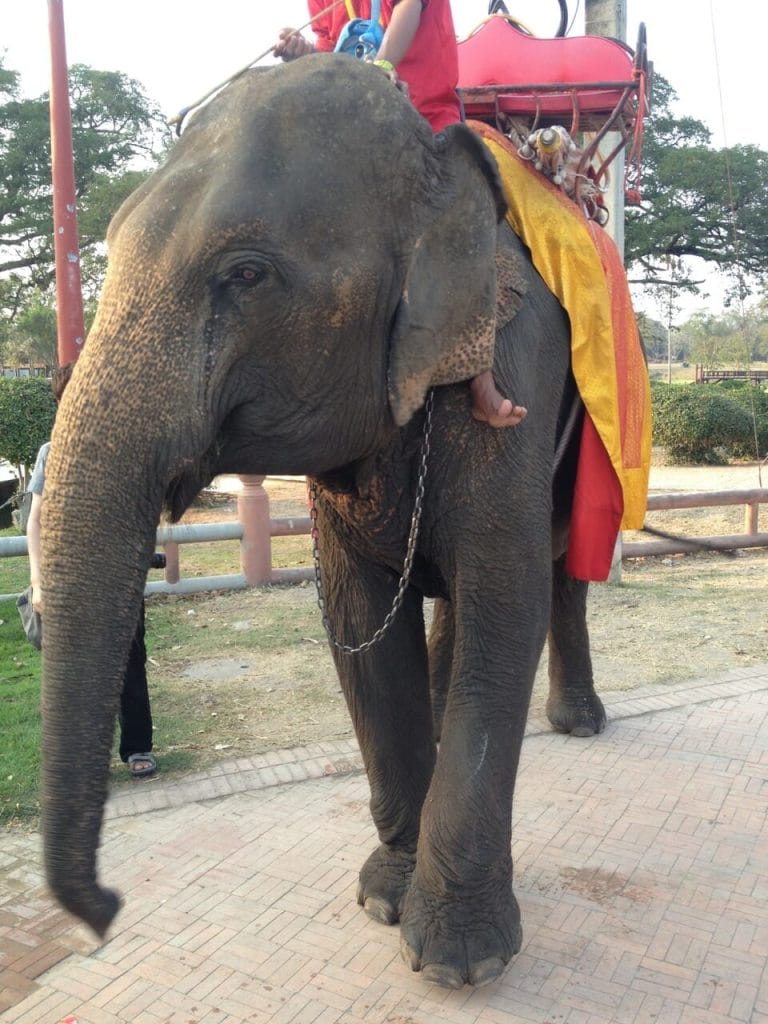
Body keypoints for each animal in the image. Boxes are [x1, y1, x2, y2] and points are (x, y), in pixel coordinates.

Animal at [40, 58, 606, 991]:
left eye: (246, 274)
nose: (106, 914)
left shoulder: (513, 376)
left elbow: (505, 599)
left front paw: (461, 960)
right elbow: (360, 623)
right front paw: (385, 899)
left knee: (563, 569)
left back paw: (581, 724)